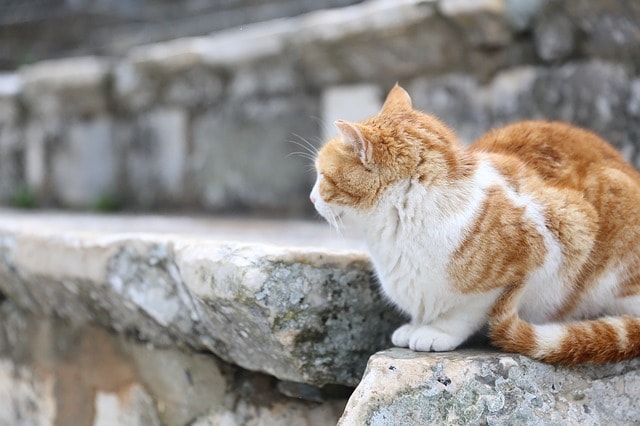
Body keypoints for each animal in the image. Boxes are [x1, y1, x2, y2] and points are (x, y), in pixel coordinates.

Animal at [310, 85, 640, 364]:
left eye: (323, 176)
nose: (312, 198)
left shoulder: (564, 231)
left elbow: (466, 311)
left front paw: (437, 332)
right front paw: (416, 325)